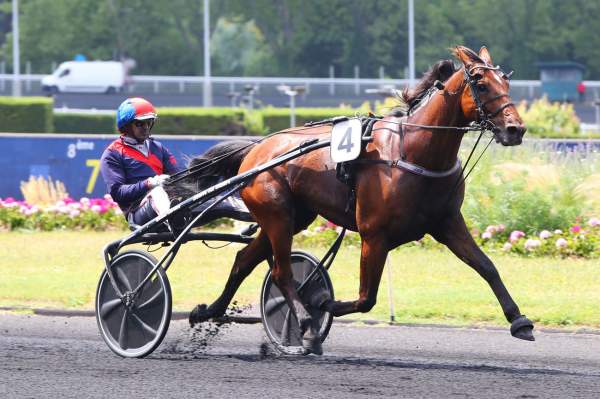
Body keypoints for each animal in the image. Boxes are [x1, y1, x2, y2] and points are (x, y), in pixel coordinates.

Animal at [171, 47, 532, 356]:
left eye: (506, 82)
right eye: (481, 84)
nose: (516, 129)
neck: (412, 150)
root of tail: (256, 148)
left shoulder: (447, 223)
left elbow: (487, 266)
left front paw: (520, 320)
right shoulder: (374, 234)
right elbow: (366, 297)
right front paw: (321, 304)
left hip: (290, 218)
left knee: (244, 260)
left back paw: (209, 311)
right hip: (277, 215)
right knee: (281, 272)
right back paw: (306, 325)